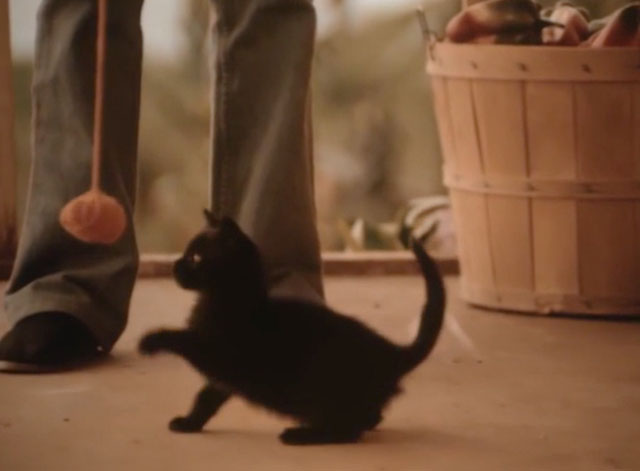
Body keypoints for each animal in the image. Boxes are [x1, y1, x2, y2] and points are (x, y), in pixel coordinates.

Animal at [139, 211, 444, 446]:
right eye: (188, 254)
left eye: (196, 257)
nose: (175, 265)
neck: (229, 300)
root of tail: (392, 353)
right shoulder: (223, 376)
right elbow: (205, 398)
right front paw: (189, 423)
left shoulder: (218, 355)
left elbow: (184, 340)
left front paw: (152, 340)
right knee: (365, 418)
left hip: (322, 388)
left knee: (347, 431)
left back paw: (301, 435)